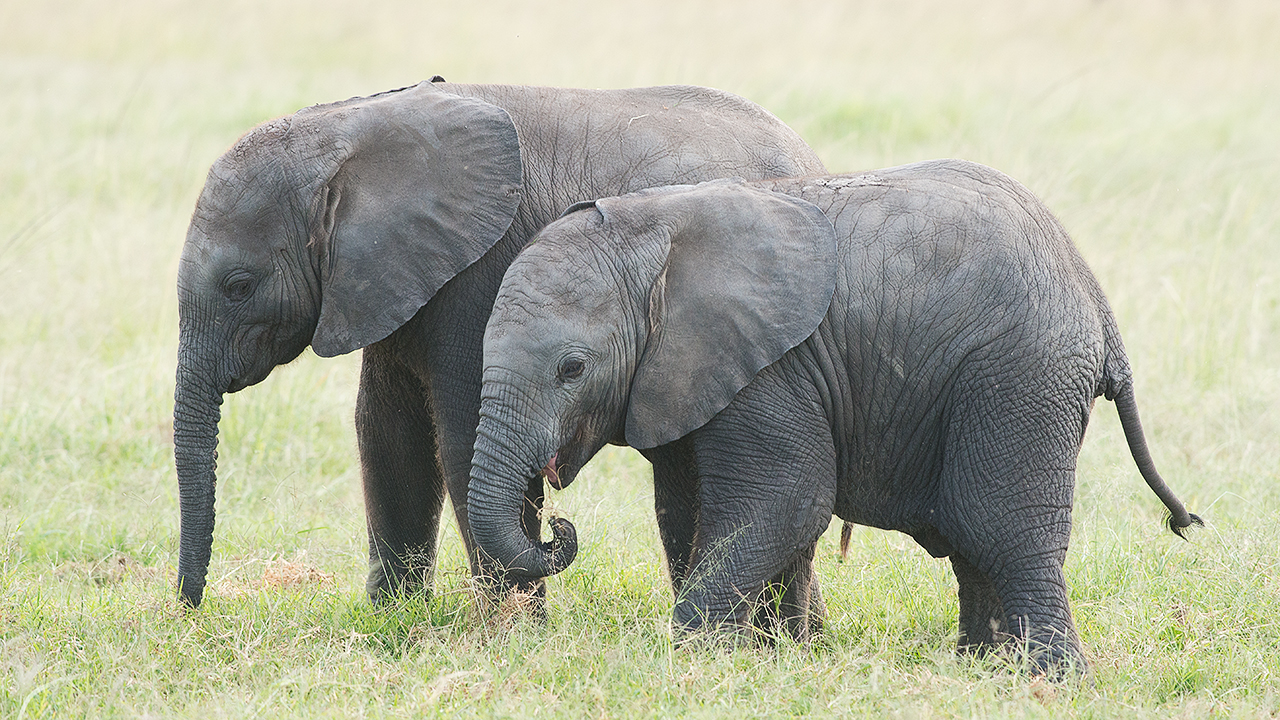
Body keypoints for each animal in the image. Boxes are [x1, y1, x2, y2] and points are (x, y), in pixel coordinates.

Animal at [175, 77, 824, 604]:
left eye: (239, 286)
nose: (189, 608)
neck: (352, 128)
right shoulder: (388, 282)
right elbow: (386, 433)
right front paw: (396, 623)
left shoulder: (478, 274)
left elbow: (459, 439)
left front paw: (510, 631)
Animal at [468, 156, 1198, 666]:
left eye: (572, 369)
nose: (557, 524)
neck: (651, 229)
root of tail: (1095, 300)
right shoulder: (687, 376)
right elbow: (686, 511)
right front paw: (757, 658)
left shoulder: (771, 369)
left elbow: (786, 503)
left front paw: (695, 658)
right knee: (975, 537)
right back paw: (982, 670)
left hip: (1021, 372)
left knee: (998, 527)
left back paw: (1048, 680)